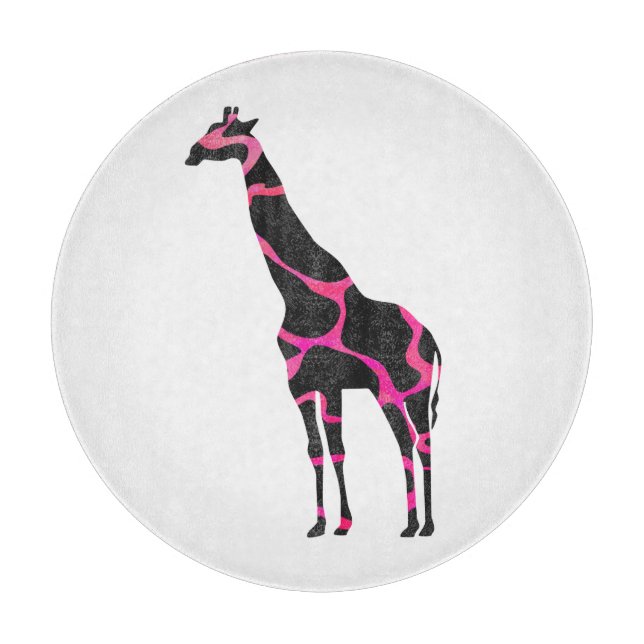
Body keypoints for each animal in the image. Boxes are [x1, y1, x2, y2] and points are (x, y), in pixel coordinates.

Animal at [186, 107, 442, 538]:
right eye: (209, 127)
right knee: (405, 441)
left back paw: (427, 526)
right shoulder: (303, 385)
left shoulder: (330, 381)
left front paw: (343, 523)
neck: (298, 294)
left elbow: (337, 448)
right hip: (386, 391)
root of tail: (433, 340)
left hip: (412, 389)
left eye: (228, 131)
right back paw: (409, 525)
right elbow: (317, 450)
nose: (192, 153)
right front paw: (322, 524)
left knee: (421, 441)